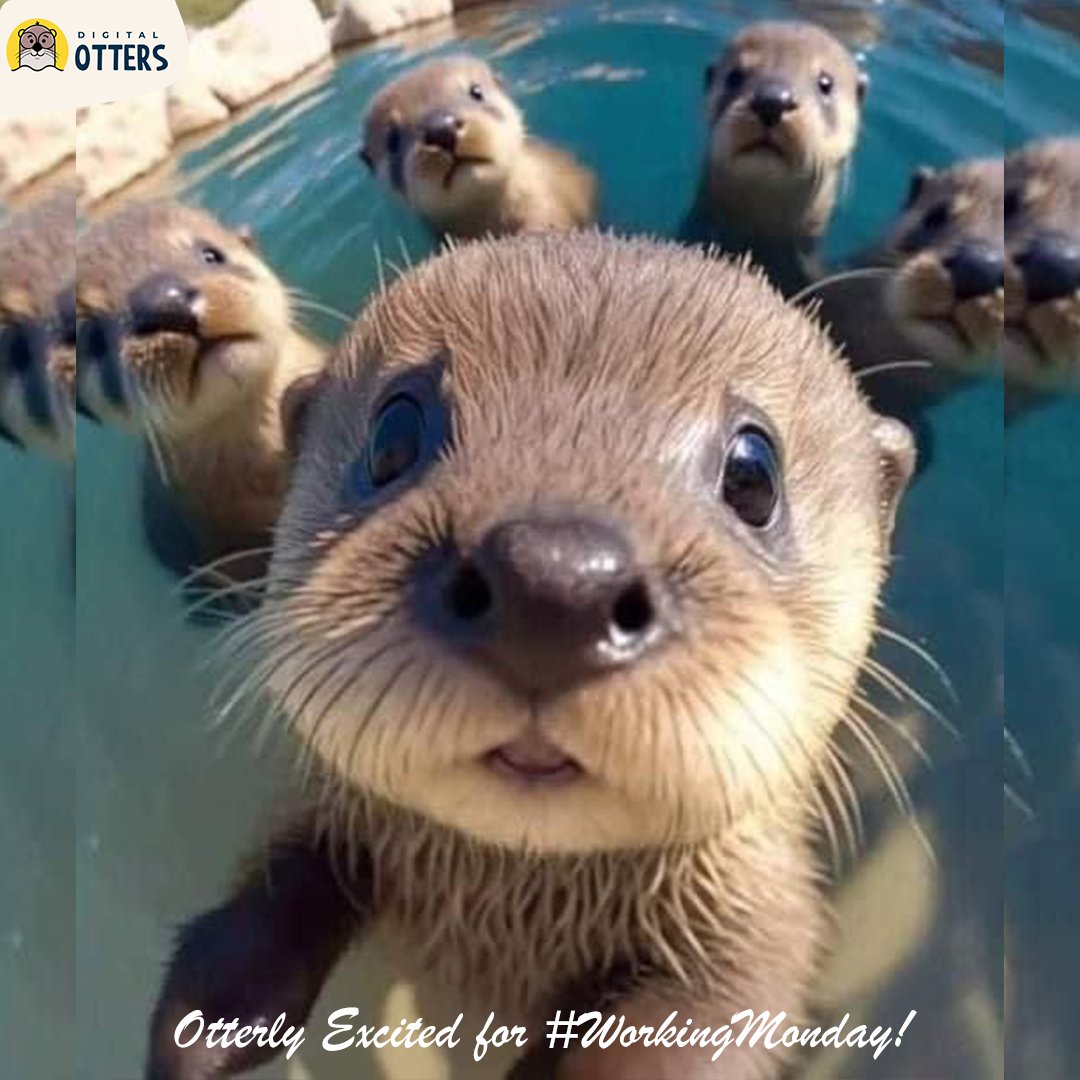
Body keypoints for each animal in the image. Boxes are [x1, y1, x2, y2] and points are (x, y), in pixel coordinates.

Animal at [146, 232, 914, 1080]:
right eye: (392, 433)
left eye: (753, 473)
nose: (555, 576)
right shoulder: (333, 816)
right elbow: (274, 902)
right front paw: (208, 1028)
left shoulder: (760, 926)